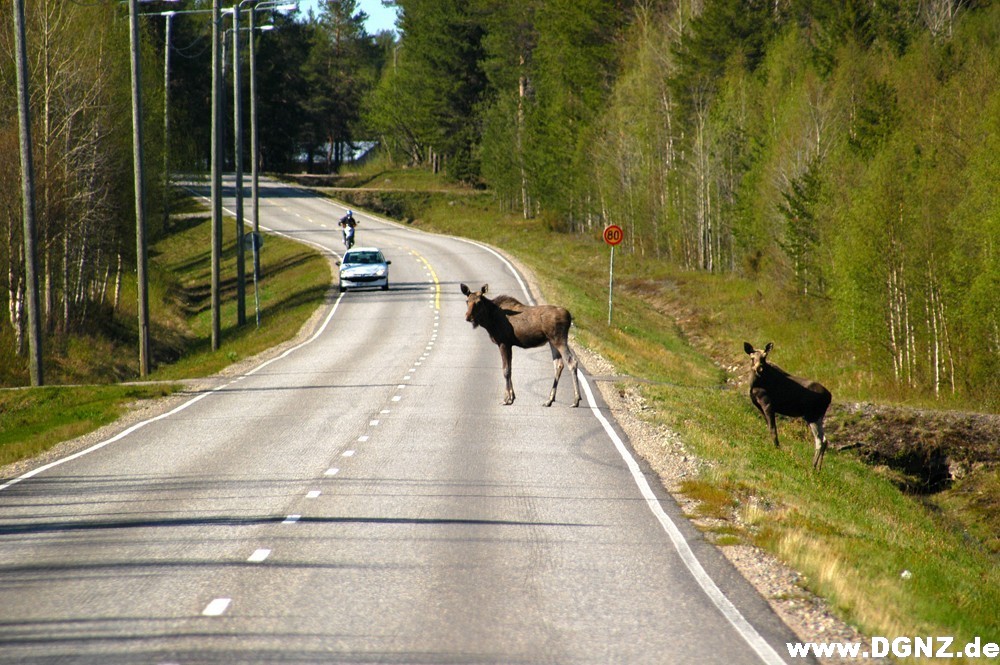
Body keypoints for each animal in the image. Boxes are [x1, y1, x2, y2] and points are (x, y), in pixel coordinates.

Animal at [748, 342, 832, 472]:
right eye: (752, 358)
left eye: (764, 357)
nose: (759, 368)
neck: (755, 383)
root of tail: (830, 397)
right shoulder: (760, 407)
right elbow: (769, 427)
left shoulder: (768, 404)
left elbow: (773, 429)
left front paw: (777, 449)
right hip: (818, 416)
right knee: (825, 439)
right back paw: (818, 469)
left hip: (811, 416)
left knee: (819, 440)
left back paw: (812, 466)